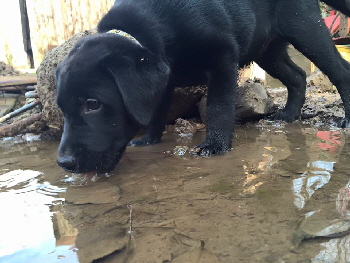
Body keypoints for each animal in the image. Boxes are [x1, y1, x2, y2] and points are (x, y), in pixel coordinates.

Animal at [56, 0, 350, 174]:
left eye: (93, 104)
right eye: (61, 109)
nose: (63, 164)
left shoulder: (223, 56)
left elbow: (218, 107)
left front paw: (215, 146)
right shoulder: (164, 76)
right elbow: (156, 111)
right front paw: (149, 139)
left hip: (304, 27)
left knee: (340, 71)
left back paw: (346, 119)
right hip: (267, 49)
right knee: (298, 76)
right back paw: (288, 115)